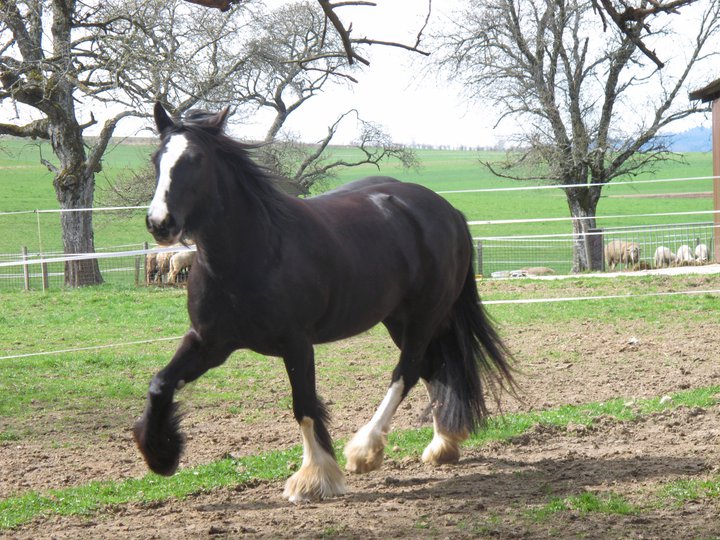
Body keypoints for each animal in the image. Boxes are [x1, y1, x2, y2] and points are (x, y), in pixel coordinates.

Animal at [135, 104, 516, 502]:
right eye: (156, 158)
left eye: (195, 159)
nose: (160, 223)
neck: (252, 252)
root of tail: (447, 210)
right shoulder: (209, 342)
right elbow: (159, 384)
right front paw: (161, 455)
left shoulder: (296, 344)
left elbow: (303, 405)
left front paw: (313, 478)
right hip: (399, 319)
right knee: (432, 367)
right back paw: (442, 445)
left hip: (424, 316)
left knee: (407, 372)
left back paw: (366, 450)